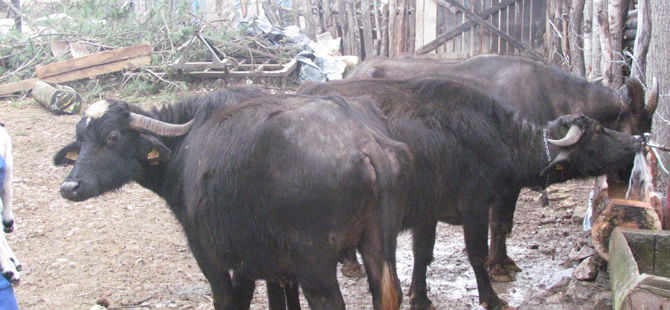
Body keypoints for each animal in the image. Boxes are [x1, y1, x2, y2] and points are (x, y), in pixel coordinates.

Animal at [52, 88, 412, 310]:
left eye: (112, 137)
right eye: (80, 140)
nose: (70, 187)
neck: (183, 149)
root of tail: (363, 141)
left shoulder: (210, 256)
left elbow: (227, 300)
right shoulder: (270, 266)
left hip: (316, 265)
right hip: (378, 245)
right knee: (387, 295)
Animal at [300, 77, 644, 308]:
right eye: (599, 131)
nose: (637, 141)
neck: (497, 138)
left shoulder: (428, 212)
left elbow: (422, 253)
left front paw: (420, 296)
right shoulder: (475, 206)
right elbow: (477, 253)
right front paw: (491, 297)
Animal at [346, 54, 660, 282]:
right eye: (635, 126)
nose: (629, 177)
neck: (548, 95)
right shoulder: (506, 185)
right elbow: (500, 223)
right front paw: (499, 266)